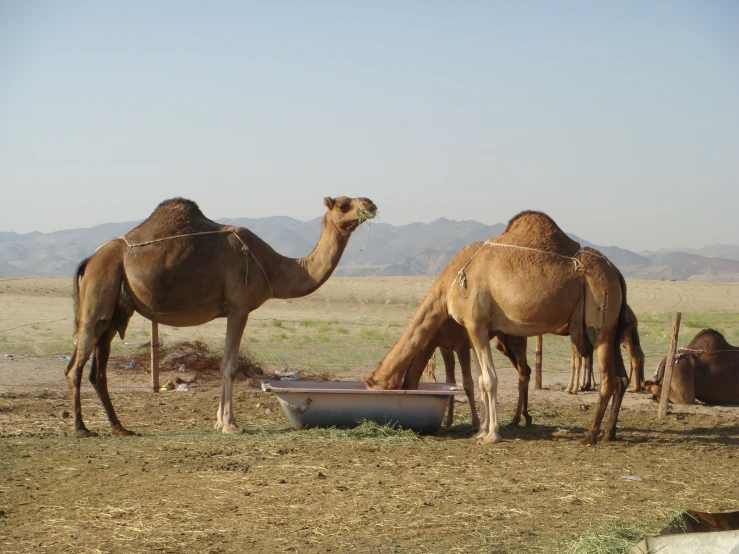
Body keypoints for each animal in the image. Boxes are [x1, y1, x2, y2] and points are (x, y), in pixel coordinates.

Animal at [63, 195, 376, 436]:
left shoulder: (230, 311)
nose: (371, 204)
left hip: (114, 312)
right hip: (97, 300)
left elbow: (225, 362)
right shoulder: (239, 307)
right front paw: (230, 424)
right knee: (75, 366)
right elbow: (230, 366)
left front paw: (218, 421)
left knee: (97, 370)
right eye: (343, 204)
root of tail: (89, 260)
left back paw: (120, 427)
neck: (271, 267)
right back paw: (81, 428)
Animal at [404, 320, 532, 432]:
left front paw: (475, 424)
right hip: (502, 343)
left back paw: (515, 419)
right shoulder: (445, 347)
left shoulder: (462, 346)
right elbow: (450, 381)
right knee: (527, 370)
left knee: (523, 374)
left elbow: (468, 384)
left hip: (517, 337)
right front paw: (448, 423)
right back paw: (526, 417)